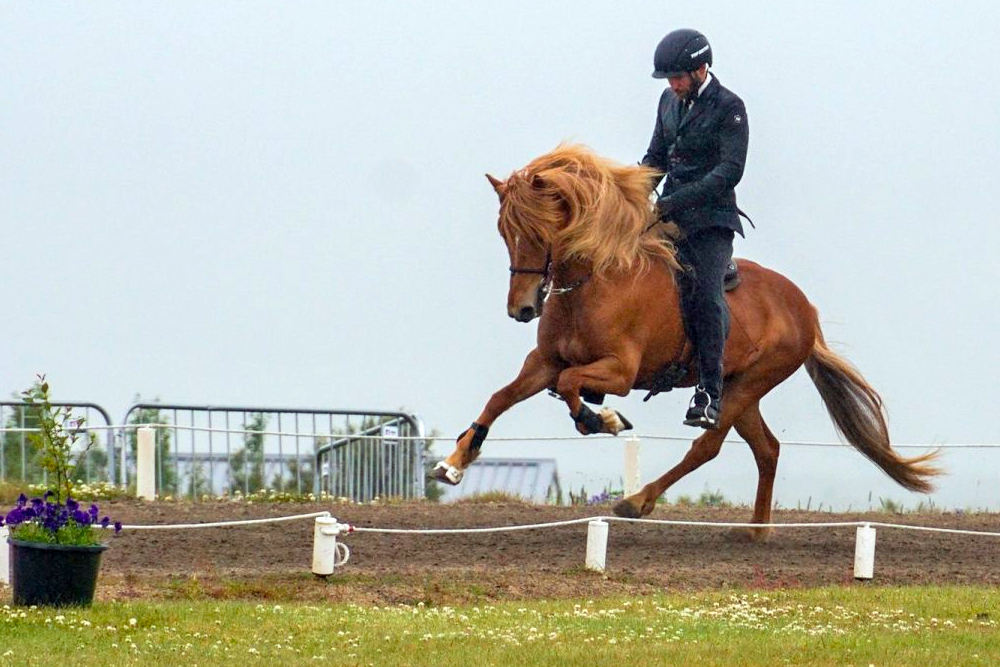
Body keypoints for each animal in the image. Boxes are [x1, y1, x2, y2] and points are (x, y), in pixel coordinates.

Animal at [432, 145, 936, 536]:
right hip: (736, 385)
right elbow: (501, 397)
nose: (521, 309)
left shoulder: (620, 371)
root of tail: (804, 309)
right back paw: (756, 532)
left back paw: (637, 502)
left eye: (539, 232)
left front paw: (604, 420)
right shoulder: (544, 361)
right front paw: (455, 462)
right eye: (505, 233)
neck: (595, 282)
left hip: (751, 383)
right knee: (767, 449)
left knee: (708, 446)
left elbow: (573, 385)